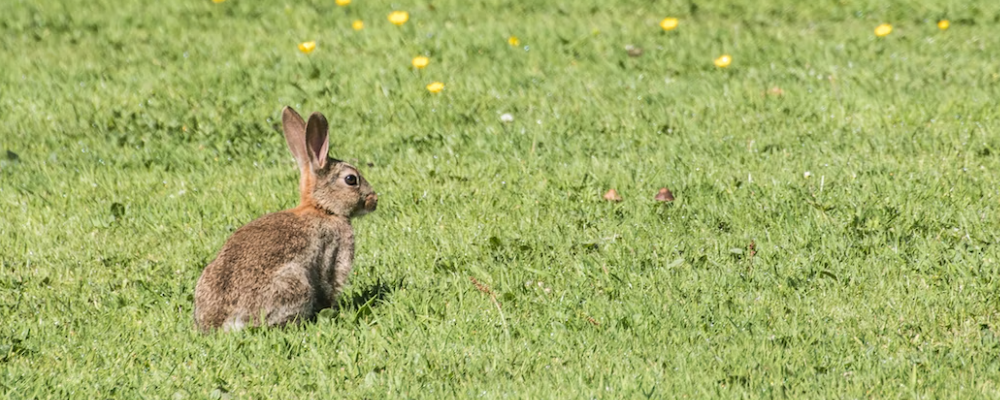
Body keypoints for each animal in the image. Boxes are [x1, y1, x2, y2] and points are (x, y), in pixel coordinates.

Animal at [193, 106, 376, 332]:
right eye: (351, 179)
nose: (374, 200)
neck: (322, 208)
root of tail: (223, 323)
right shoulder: (334, 253)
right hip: (294, 284)